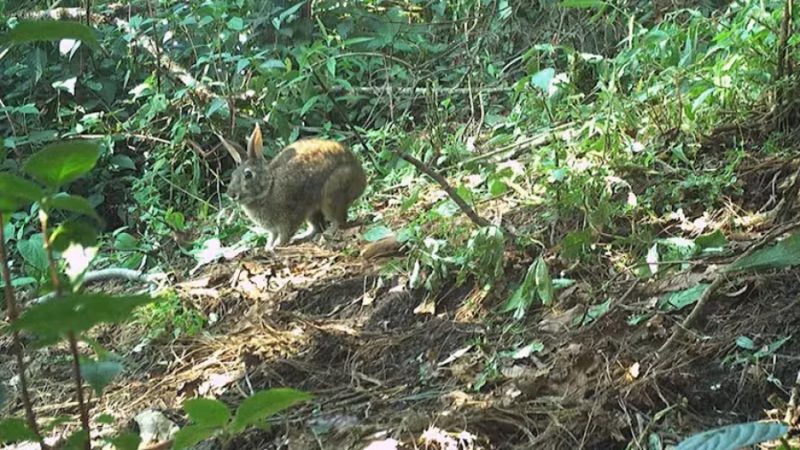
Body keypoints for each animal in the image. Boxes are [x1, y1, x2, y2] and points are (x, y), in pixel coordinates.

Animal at [221, 124, 366, 251]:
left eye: (248, 175)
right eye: (233, 175)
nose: (231, 194)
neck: (269, 188)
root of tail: (361, 179)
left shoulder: (289, 217)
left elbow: (285, 234)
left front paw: (277, 246)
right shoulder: (274, 229)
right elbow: (272, 236)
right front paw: (268, 247)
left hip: (332, 194)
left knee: (338, 220)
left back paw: (328, 233)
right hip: (313, 211)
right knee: (317, 227)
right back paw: (302, 237)